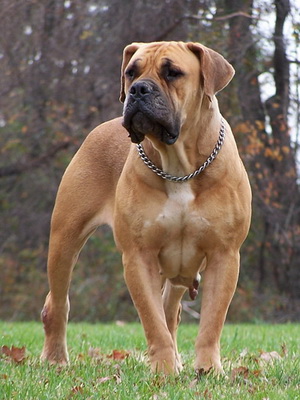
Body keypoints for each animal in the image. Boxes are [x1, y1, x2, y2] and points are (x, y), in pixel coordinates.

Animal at [39, 42, 251, 376]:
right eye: (131, 72)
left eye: (173, 72)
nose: (139, 89)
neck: (179, 166)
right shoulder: (139, 256)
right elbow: (153, 321)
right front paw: (163, 370)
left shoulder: (224, 255)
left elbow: (211, 322)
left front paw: (208, 370)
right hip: (65, 240)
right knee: (57, 303)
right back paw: (56, 359)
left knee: (171, 310)